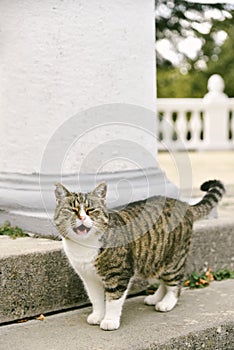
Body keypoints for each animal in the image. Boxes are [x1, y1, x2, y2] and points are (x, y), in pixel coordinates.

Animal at [54, 180, 224, 330]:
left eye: (91, 210)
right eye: (72, 210)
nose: (82, 217)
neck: (83, 246)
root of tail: (184, 205)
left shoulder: (118, 275)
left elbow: (113, 300)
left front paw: (109, 320)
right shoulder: (88, 278)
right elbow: (96, 299)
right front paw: (98, 315)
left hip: (173, 260)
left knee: (175, 284)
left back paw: (167, 303)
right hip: (156, 259)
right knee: (164, 282)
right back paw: (155, 298)